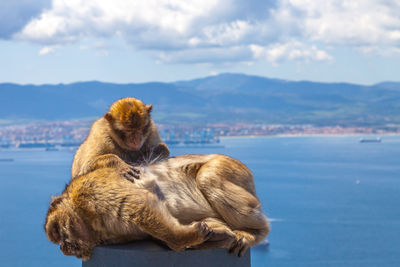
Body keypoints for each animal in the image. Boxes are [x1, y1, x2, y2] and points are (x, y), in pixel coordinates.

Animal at [44, 154, 268, 260]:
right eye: (57, 241)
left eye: (56, 232)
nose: (63, 248)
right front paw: (208, 236)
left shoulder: (88, 190)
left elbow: (140, 206)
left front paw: (186, 238)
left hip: (226, 167)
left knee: (208, 177)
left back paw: (253, 233)